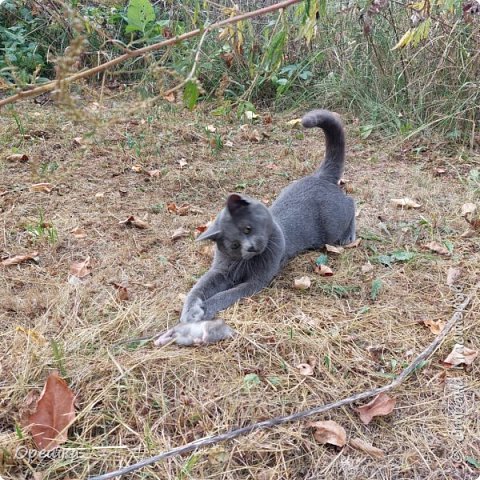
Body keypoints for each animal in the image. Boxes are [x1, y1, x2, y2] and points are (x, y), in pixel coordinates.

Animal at [156, 110, 354, 346]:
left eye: (248, 229)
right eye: (233, 244)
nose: (250, 247)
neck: (243, 264)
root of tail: (319, 177)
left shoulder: (257, 280)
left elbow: (225, 295)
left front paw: (205, 310)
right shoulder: (221, 270)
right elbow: (198, 287)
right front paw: (190, 312)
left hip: (332, 225)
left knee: (351, 202)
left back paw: (349, 236)